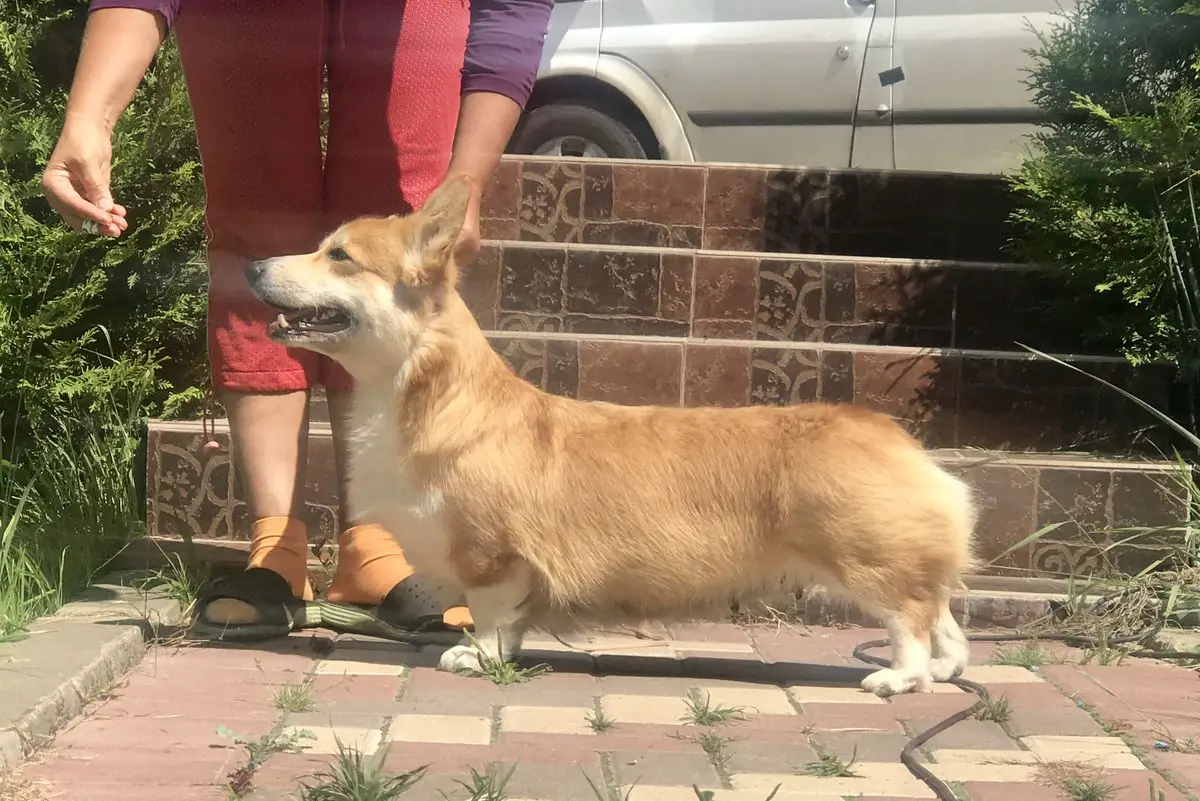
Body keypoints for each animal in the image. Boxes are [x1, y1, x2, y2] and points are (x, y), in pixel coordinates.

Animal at [241, 176, 974, 695]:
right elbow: (512, 623)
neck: (429, 392)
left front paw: (475, 658)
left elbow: (490, 615)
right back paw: (941, 672)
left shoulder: (492, 557)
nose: (249, 267)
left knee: (911, 617)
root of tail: (902, 444)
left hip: (867, 559)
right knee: (945, 622)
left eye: (340, 255)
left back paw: (898, 678)